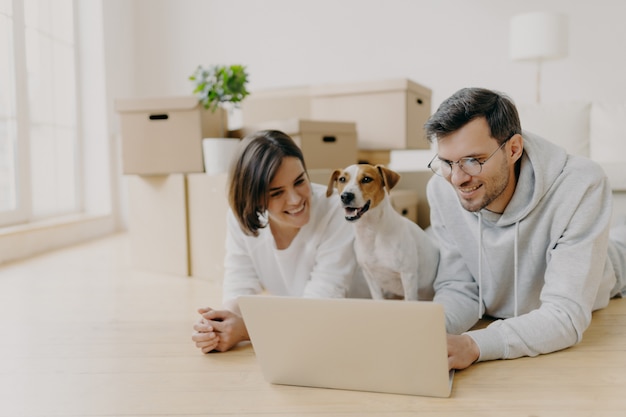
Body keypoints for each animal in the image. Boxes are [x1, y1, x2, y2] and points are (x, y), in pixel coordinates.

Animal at [324, 163, 436, 300]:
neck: (371, 232)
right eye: (342, 179)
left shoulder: (408, 276)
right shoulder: (371, 278)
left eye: (366, 179)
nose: (345, 196)